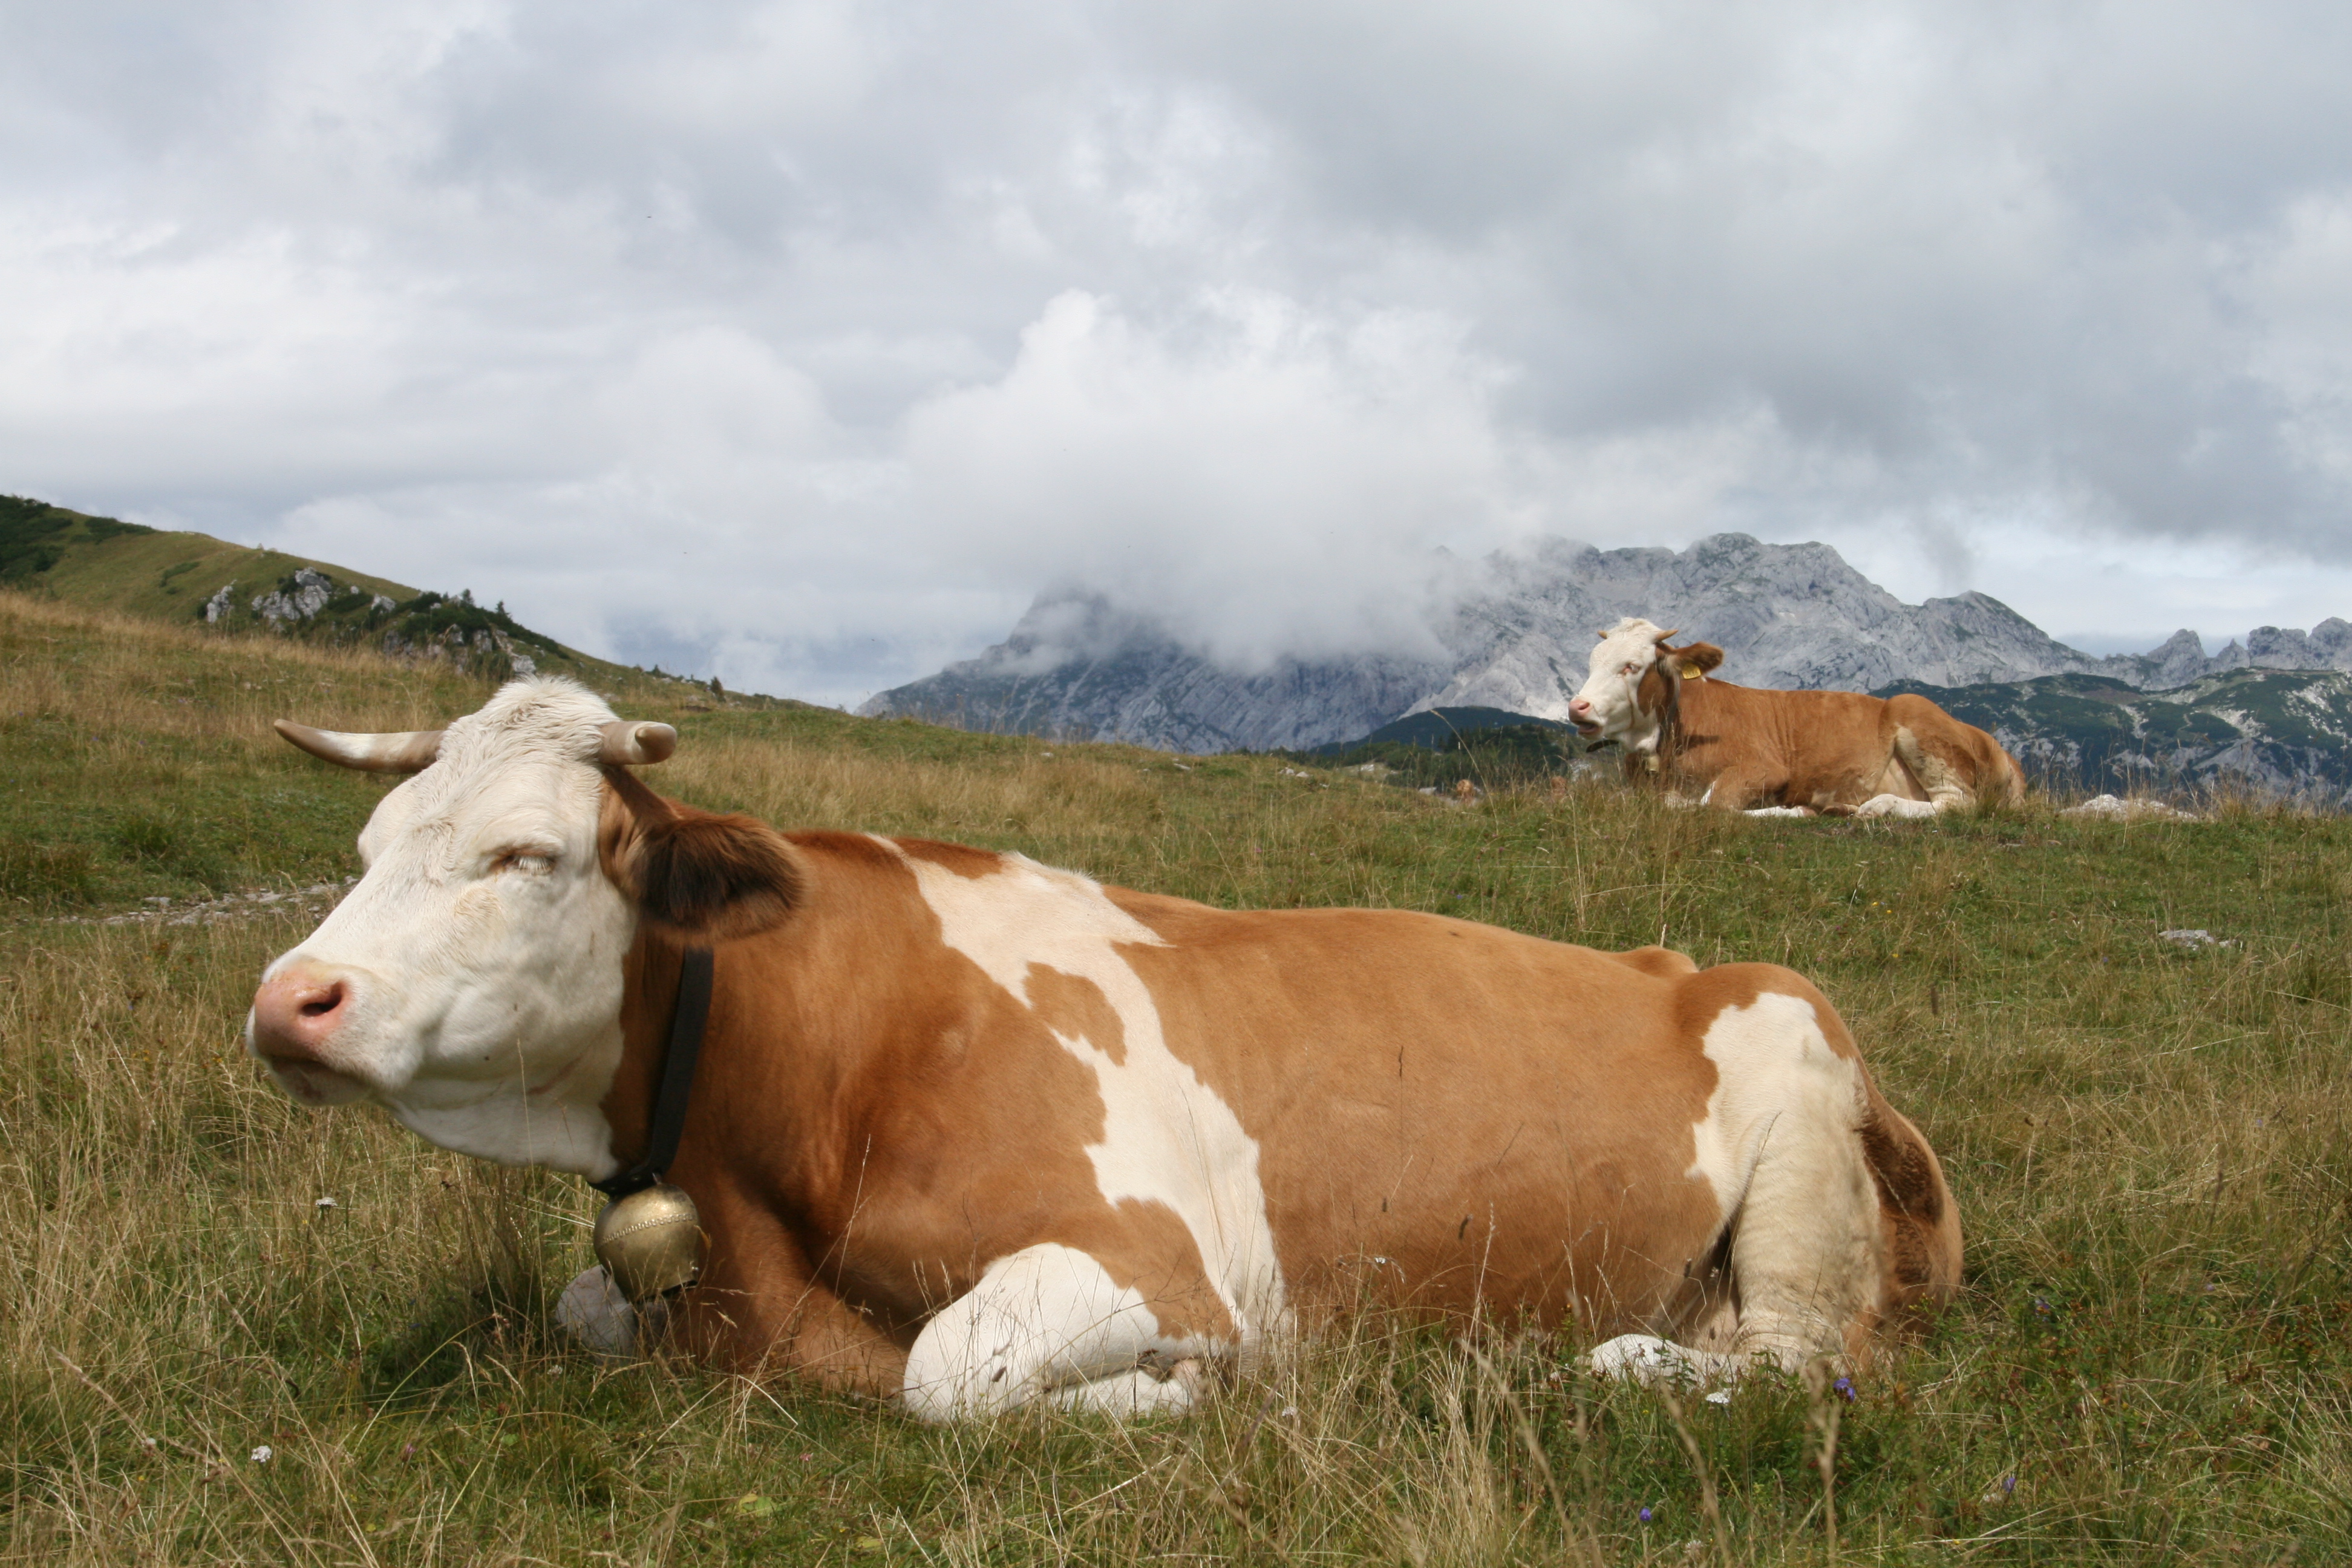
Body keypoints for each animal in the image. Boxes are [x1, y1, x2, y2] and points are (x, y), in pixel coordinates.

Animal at [247, 678, 1961, 1420]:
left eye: (525, 856)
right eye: (370, 843)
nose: (289, 1000)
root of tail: (1686, 963)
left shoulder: (1157, 1264)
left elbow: (944, 1374)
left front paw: (1169, 1399)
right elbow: (582, 1307)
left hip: (1797, 1146)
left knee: (1798, 1356)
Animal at [1567, 618, 2026, 816]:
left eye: (1632, 666)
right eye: (1591, 662)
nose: (1577, 707)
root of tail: (1994, 744)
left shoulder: (1763, 768)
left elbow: (1711, 805)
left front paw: (1792, 811)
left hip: (1917, 716)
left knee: (1956, 803)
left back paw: (1875, 806)